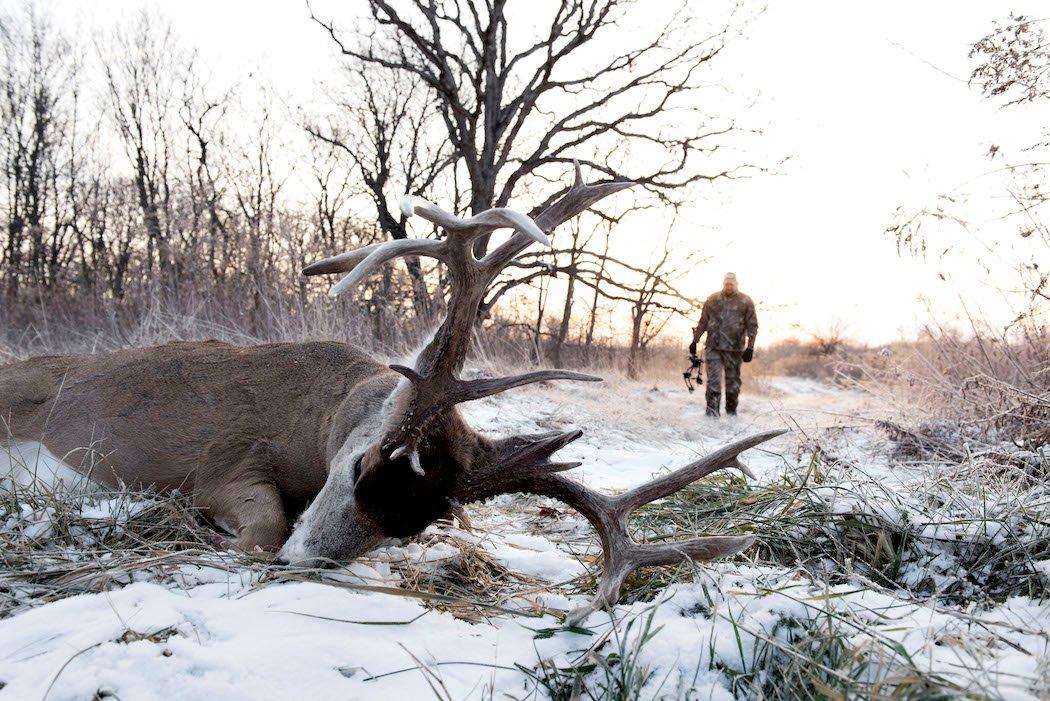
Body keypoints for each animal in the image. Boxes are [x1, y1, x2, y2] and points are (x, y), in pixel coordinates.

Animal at [0, 164, 784, 618]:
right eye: (357, 467)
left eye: (405, 528)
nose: (303, 567)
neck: (316, 414)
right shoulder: (224, 462)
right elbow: (261, 525)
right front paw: (212, 533)